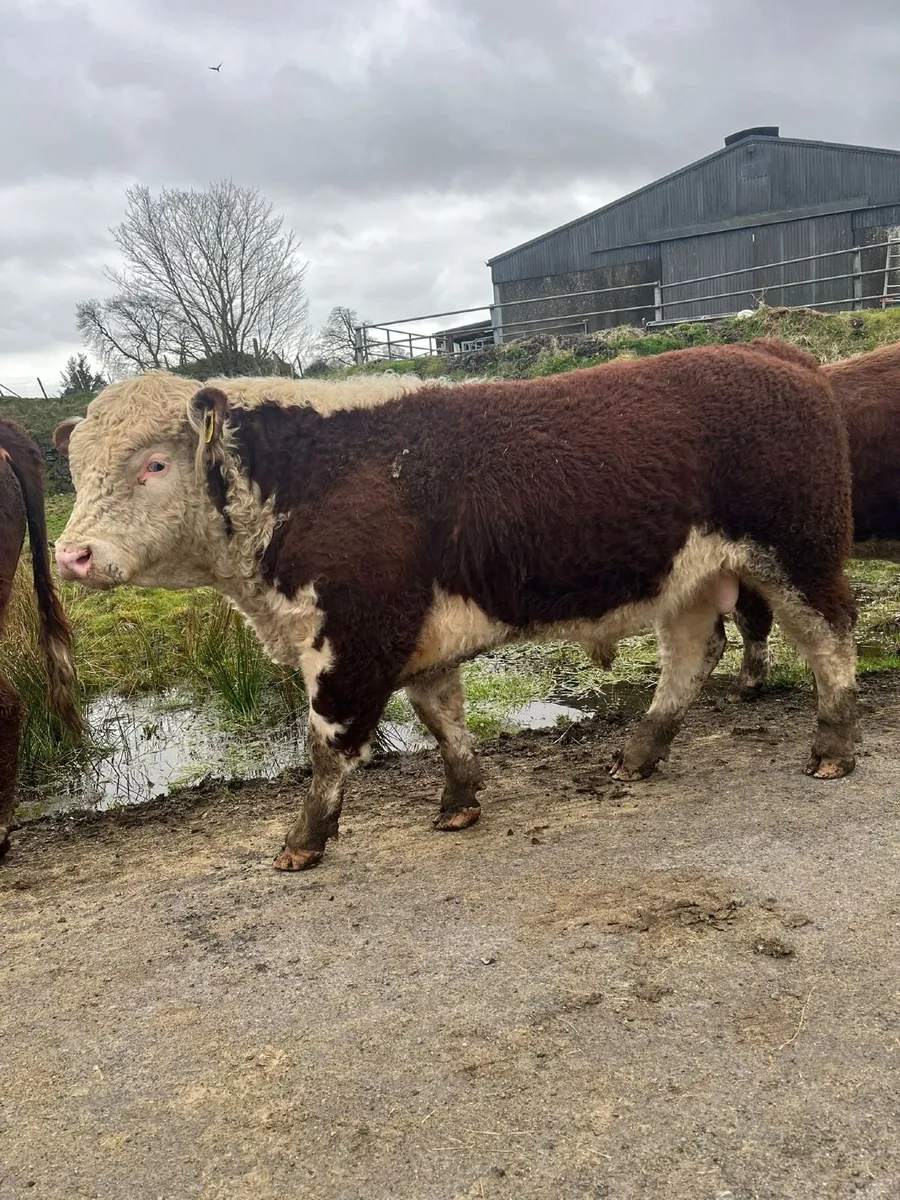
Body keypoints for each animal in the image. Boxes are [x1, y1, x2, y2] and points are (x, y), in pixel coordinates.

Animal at [53, 344, 858, 872]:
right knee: (693, 656)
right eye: (75, 469)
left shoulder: (355, 638)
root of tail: (776, 355)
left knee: (831, 641)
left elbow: (329, 747)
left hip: (800, 554)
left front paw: (302, 841)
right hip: (688, 578)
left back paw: (831, 749)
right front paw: (460, 800)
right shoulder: (414, 638)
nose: (72, 555)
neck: (307, 478)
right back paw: (639, 754)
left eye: (155, 463)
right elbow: (444, 719)